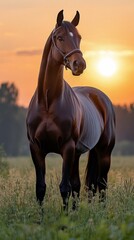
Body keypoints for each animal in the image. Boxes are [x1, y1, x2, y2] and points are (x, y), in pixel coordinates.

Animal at [26, 10, 115, 210]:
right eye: (60, 37)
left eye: (79, 37)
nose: (79, 64)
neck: (48, 102)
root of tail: (100, 97)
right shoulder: (36, 148)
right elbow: (41, 188)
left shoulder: (67, 147)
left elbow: (64, 188)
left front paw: (65, 219)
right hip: (77, 154)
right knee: (81, 185)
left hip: (103, 152)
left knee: (101, 185)